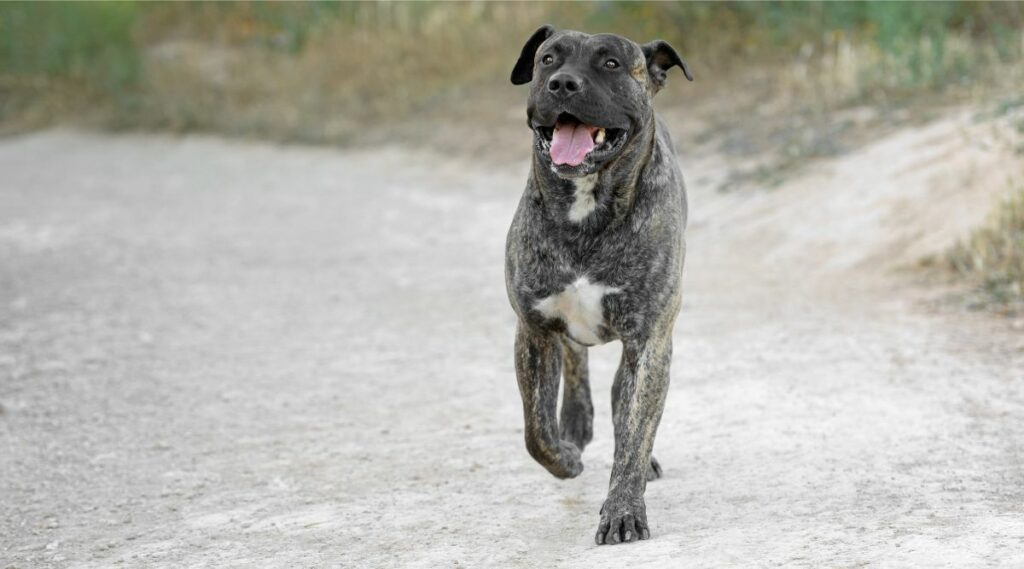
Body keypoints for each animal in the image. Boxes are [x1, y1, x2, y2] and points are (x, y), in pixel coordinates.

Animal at [505, 26, 696, 548]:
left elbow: (633, 435)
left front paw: (623, 510)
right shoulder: (534, 330)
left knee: (620, 403)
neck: (586, 208)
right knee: (576, 364)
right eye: (548, 59)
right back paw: (575, 422)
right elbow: (536, 431)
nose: (563, 84)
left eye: (611, 63)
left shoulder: (649, 342)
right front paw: (566, 456)